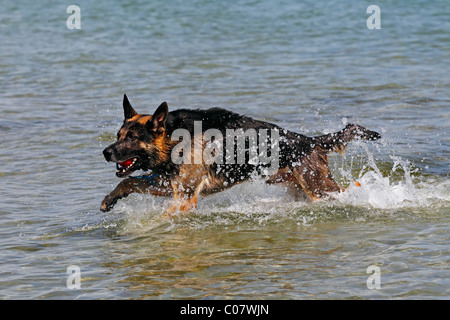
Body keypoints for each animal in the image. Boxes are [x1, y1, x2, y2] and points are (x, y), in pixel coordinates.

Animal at [101, 94, 380, 216]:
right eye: (118, 135)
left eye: (132, 138)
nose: (105, 152)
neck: (173, 137)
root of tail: (310, 141)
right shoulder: (172, 185)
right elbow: (130, 181)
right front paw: (111, 199)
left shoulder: (185, 196)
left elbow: (164, 215)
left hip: (319, 189)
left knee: (349, 190)